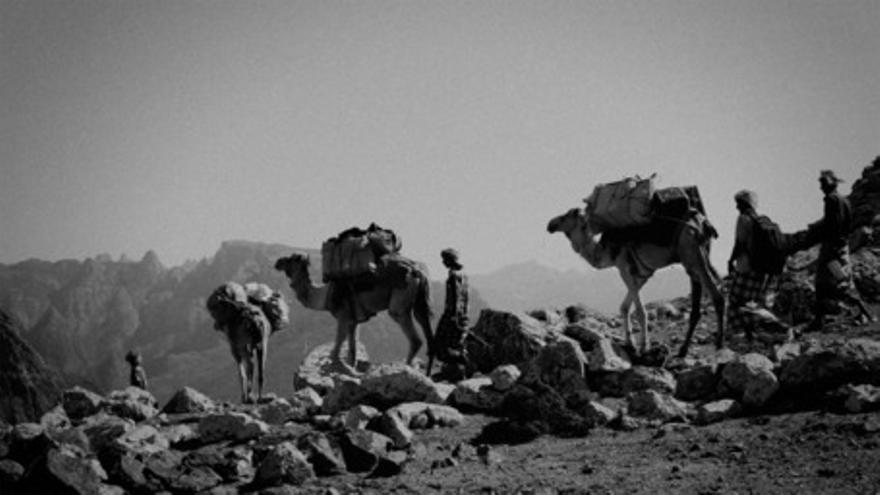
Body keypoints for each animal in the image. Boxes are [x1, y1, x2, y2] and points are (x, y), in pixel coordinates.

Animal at [274, 252, 434, 376]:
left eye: (291, 258)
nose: (277, 262)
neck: (324, 294)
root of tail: (417, 272)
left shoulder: (343, 316)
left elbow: (337, 347)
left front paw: (339, 368)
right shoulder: (354, 321)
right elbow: (352, 350)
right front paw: (351, 370)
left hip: (400, 298)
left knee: (412, 335)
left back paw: (404, 370)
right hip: (418, 302)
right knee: (423, 324)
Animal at [548, 207, 724, 358]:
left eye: (567, 215)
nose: (550, 224)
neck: (604, 251)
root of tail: (703, 222)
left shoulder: (623, 267)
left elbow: (639, 310)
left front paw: (644, 347)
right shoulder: (642, 274)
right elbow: (625, 306)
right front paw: (630, 344)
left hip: (691, 253)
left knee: (716, 295)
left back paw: (719, 344)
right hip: (697, 256)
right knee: (704, 297)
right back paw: (684, 349)